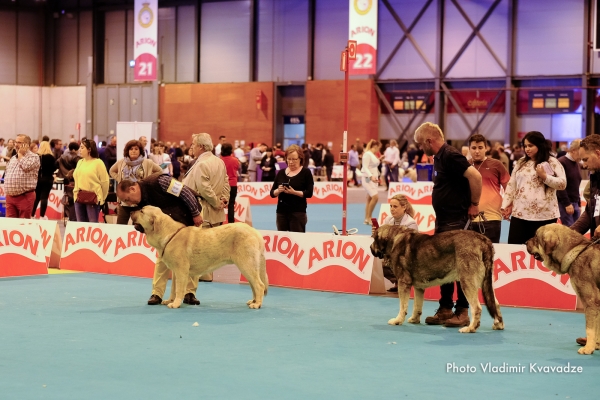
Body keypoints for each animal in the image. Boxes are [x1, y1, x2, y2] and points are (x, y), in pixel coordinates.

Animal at [134, 205, 272, 310]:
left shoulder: (181, 271)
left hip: (246, 265)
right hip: (249, 267)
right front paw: (170, 300)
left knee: (259, 285)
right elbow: (173, 288)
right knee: (254, 285)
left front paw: (176, 303)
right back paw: (253, 301)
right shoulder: (175, 273)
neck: (169, 234)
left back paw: (257, 304)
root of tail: (255, 232)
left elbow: (179, 289)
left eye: (142, 211)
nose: (131, 211)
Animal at [370, 227, 502, 332]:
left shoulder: (403, 282)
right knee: (495, 303)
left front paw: (398, 320)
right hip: (485, 283)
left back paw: (470, 328)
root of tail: (484, 240)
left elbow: (403, 306)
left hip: (467, 281)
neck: (394, 238)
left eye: (374, 239)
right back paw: (498, 324)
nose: (370, 248)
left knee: (477, 308)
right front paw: (414, 319)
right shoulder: (419, 287)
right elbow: (417, 306)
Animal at [524, 223, 600, 354]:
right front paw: (596, 345)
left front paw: (588, 348)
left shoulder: (590, 301)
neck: (575, 253)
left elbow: (590, 329)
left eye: (536, 237)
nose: (525, 242)